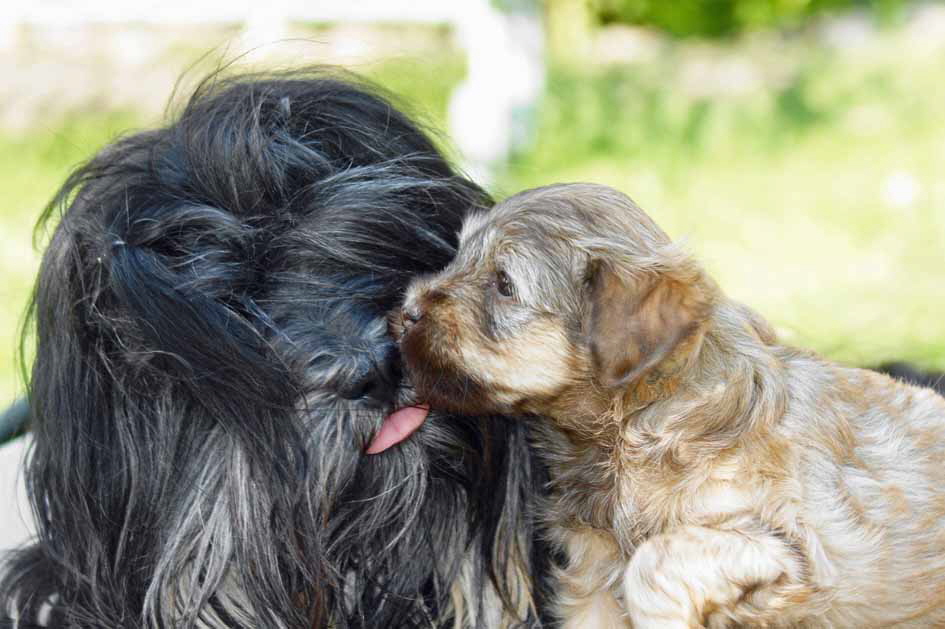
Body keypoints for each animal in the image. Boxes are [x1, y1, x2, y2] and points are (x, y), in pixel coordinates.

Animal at [394, 183, 944, 628]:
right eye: (459, 258)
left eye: (504, 285)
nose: (405, 311)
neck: (637, 420)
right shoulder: (591, 571)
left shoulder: (793, 548)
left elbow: (653, 562)